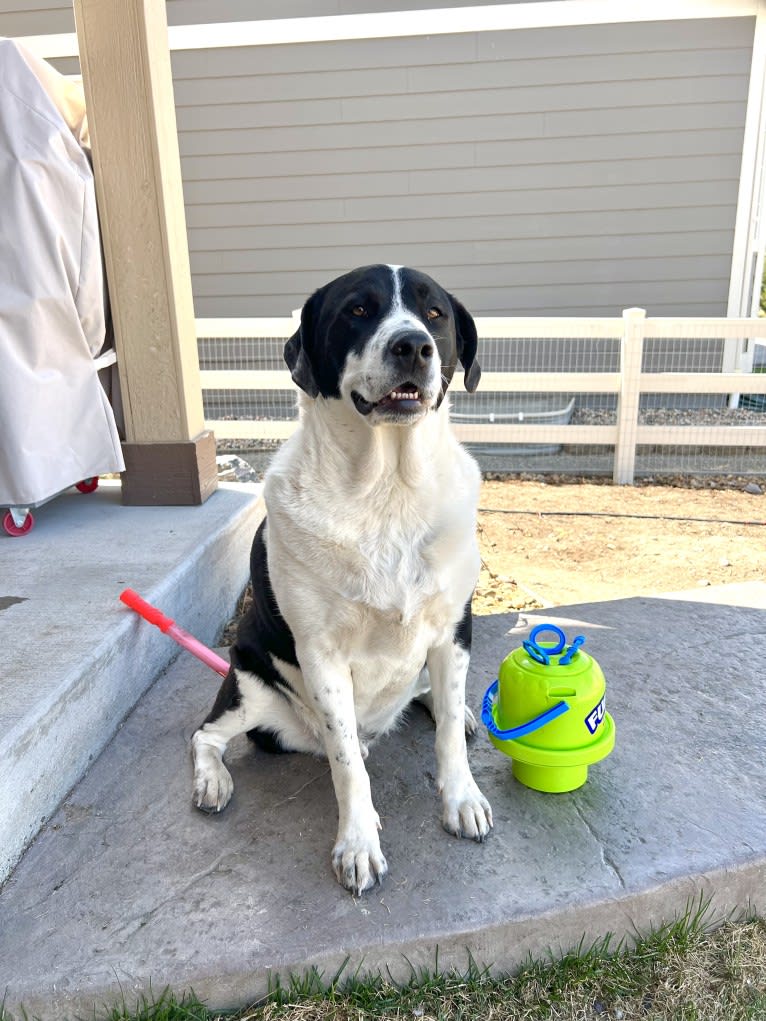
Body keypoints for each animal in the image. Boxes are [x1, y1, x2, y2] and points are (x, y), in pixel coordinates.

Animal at [190, 263, 492, 894]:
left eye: (435, 314)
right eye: (357, 310)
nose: (413, 346)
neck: (387, 489)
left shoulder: (453, 629)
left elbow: (449, 733)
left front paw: (461, 798)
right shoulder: (321, 654)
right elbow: (347, 764)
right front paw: (357, 843)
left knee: (436, 702)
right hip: (250, 686)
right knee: (208, 736)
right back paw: (212, 781)